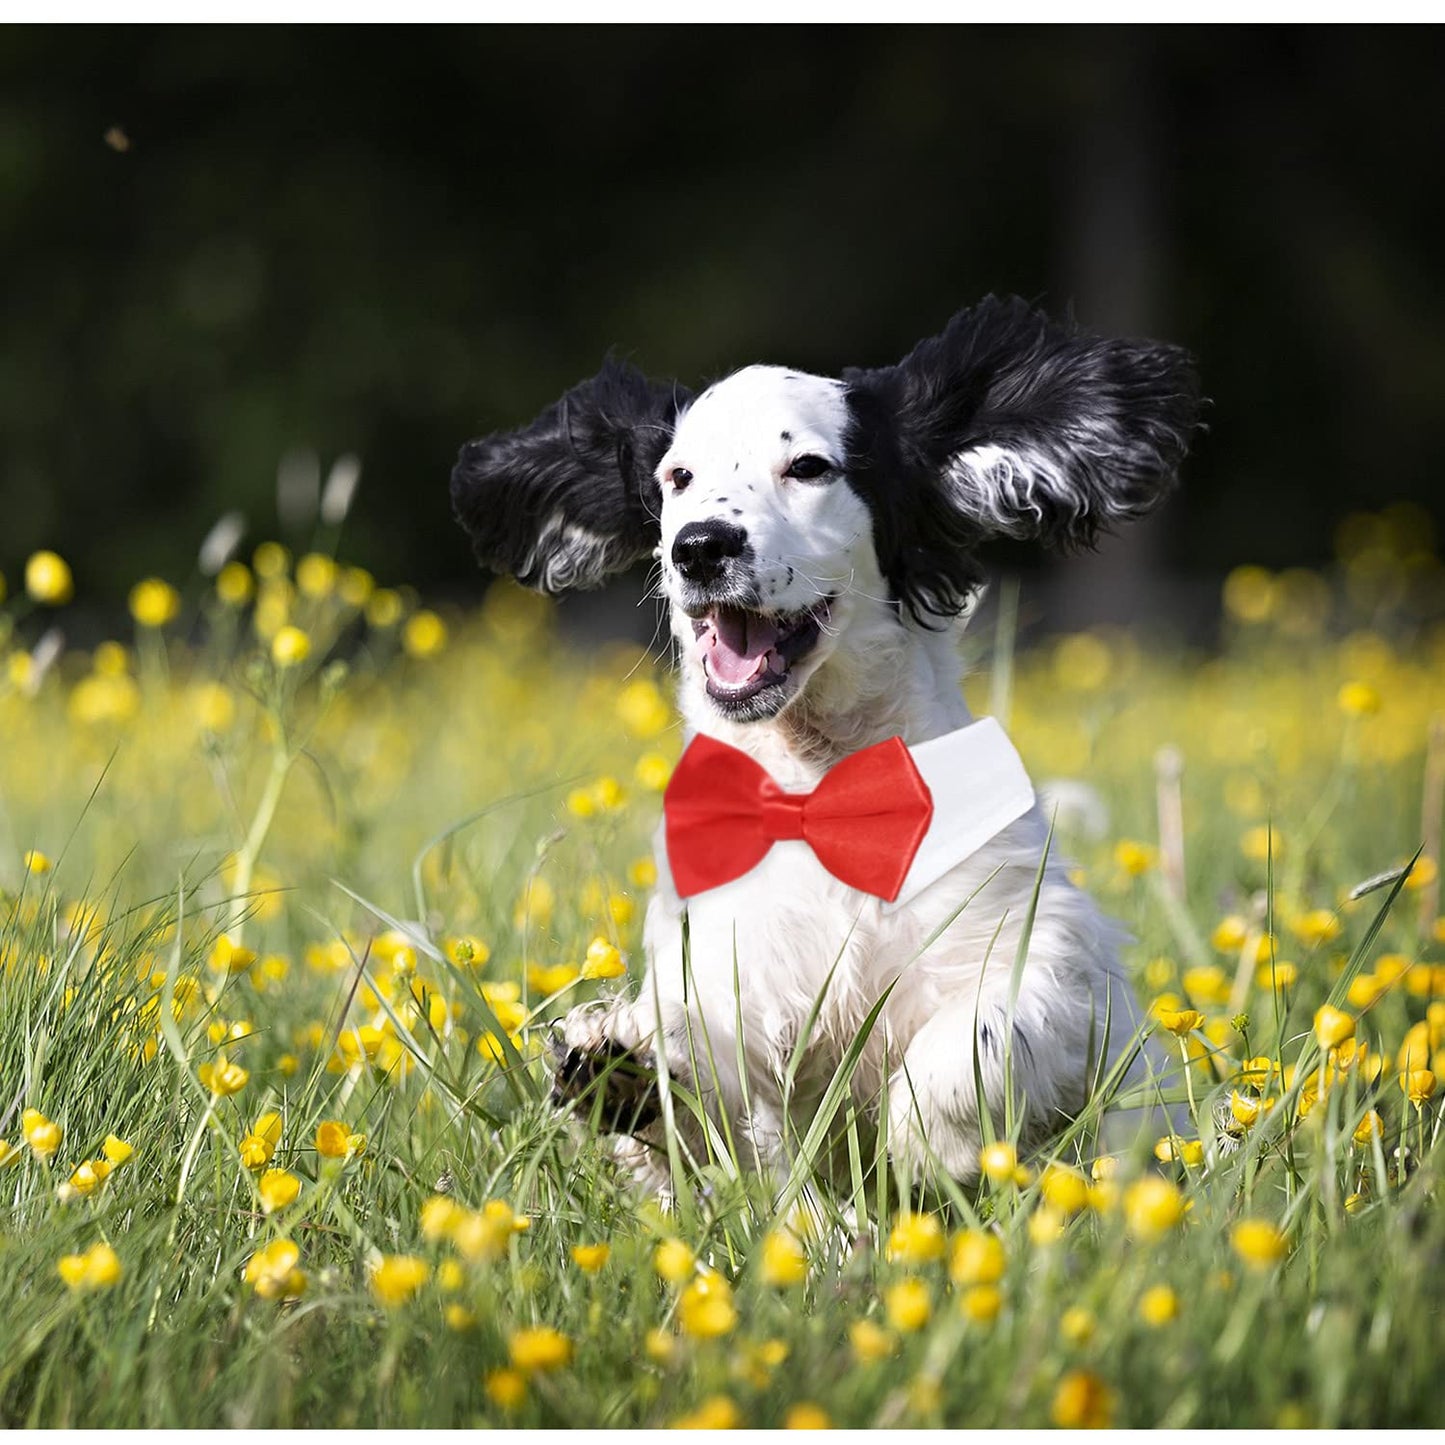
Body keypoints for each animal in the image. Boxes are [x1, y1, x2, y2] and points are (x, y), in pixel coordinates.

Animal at [447, 296, 1196, 1196]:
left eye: (808, 467)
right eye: (676, 477)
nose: (700, 545)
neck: (813, 791)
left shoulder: (1048, 959)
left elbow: (974, 1037)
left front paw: (930, 1143)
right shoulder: (728, 974)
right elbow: (703, 1094)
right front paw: (620, 1071)